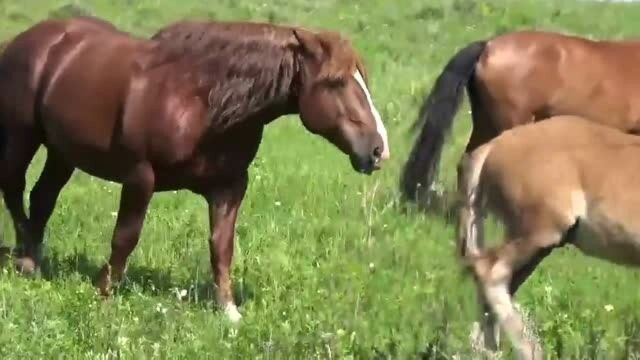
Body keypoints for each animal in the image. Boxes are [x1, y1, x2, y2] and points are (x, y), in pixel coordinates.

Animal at [0, 16, 390, 324]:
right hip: (22, 136)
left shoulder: (229, 186)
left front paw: (229, 311)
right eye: (335, 82)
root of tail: (24, 41)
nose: (379, 150)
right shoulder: (140, 176)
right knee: (14, 187)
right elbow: (125, 237)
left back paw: (33, 258)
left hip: (62, 150)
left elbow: (222, 246)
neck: (201, 100)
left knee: (42, 197)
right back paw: (25, 260)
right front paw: (104, 293)